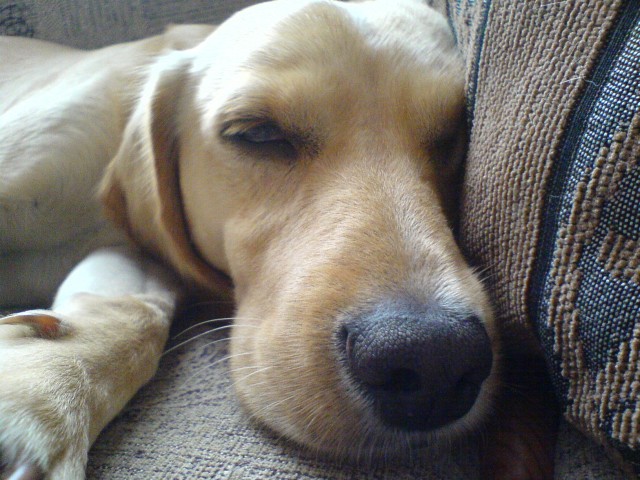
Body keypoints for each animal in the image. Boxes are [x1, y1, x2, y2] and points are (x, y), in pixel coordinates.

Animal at [0, 1, 500, 478]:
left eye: (453, 137)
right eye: (258, 133)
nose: (435, 359)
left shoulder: (135, 253)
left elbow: (141, 315)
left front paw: (42, 395)